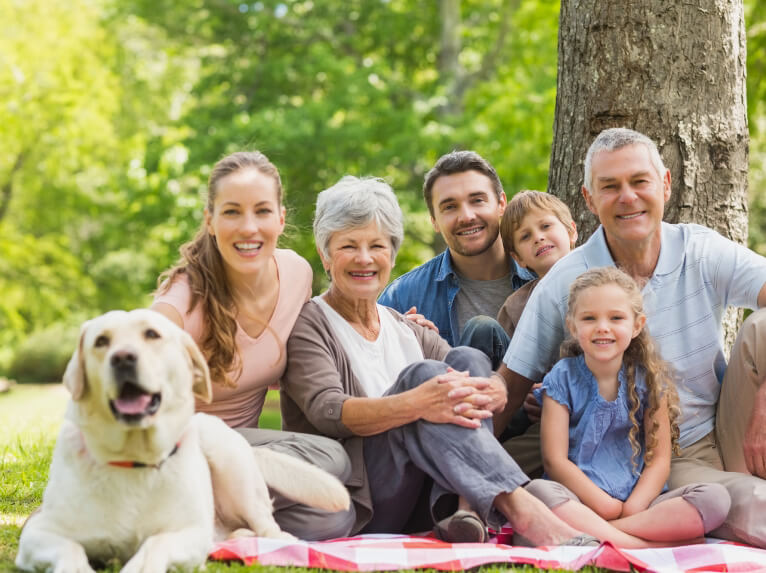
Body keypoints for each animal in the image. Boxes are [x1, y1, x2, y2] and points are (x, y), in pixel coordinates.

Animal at [15, 310, 352, 572]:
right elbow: (70, 550)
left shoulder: (187, 533)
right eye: (101, 341)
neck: (133, 458)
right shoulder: (37, 533)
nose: (123, 358)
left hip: (230, 463)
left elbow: (154, 545)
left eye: (151, 334)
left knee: (268, 526)